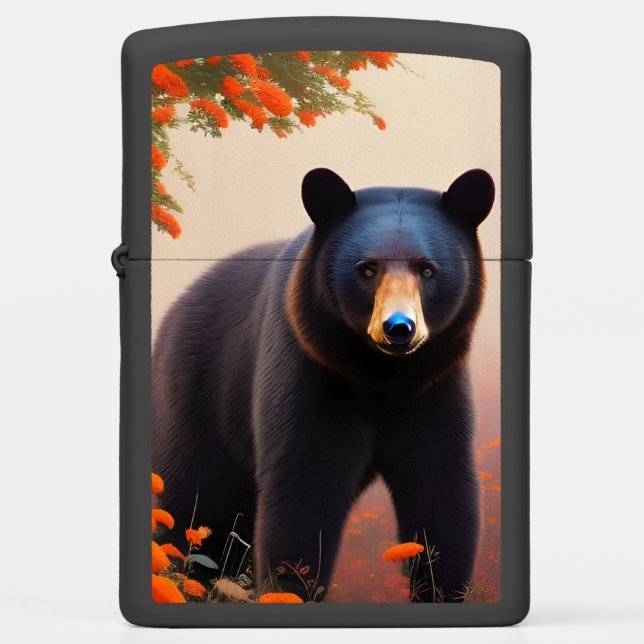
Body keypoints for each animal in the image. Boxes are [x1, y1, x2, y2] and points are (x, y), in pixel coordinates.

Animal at [152, 167, 495, 602]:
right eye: (367, 269)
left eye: (428, 270)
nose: (399, 328)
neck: (382, 376)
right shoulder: (305, 367)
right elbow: (304, 486)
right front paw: (288, 588)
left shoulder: (435, 384)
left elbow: (441, 485)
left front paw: (440, 590)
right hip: (196, 393)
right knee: (193, 501)